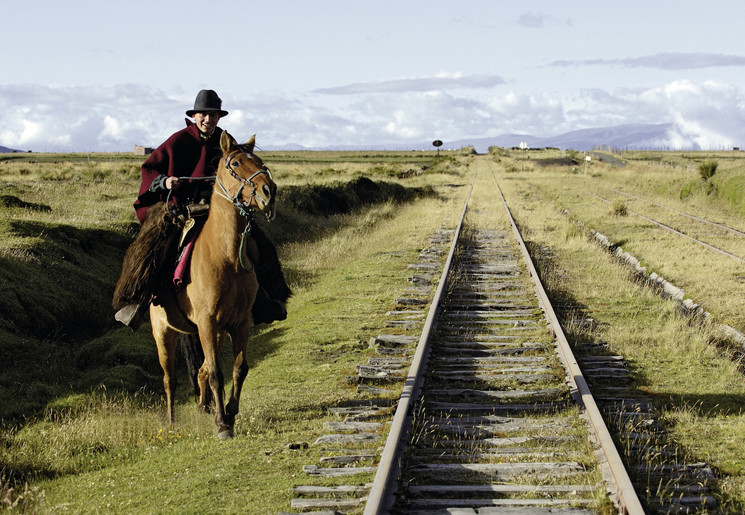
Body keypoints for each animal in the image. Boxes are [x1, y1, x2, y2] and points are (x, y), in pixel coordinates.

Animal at [150, 130, 278, 440]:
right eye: (235, 164)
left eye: (259, 161)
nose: (269, 192)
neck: (226, 256)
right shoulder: (207, 322)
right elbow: (217, 374)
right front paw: (222, 425)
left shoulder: (239, 322)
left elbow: (238, 368)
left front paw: (230, 413)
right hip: (164, 333)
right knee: (170, 379)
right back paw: (172, 419)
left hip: (215, 333)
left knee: (202, 371)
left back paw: (203, 408)